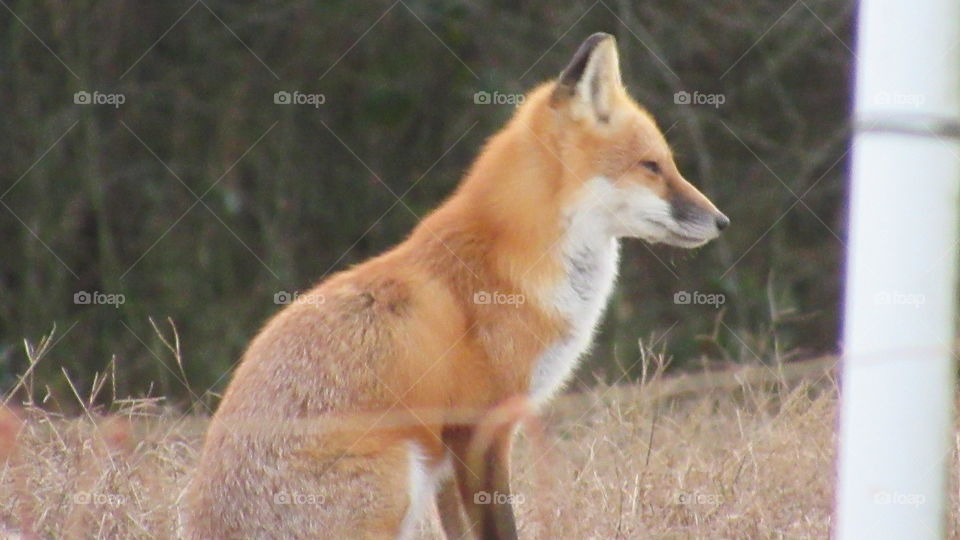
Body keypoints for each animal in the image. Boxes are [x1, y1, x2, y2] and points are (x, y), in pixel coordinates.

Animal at [182, 32, 728, 540]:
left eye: (667, 163)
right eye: (652, 166)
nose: (721, 221)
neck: (515, 266)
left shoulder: (449, 454)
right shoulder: (482, 427)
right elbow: (500, 527)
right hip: (399, 470)